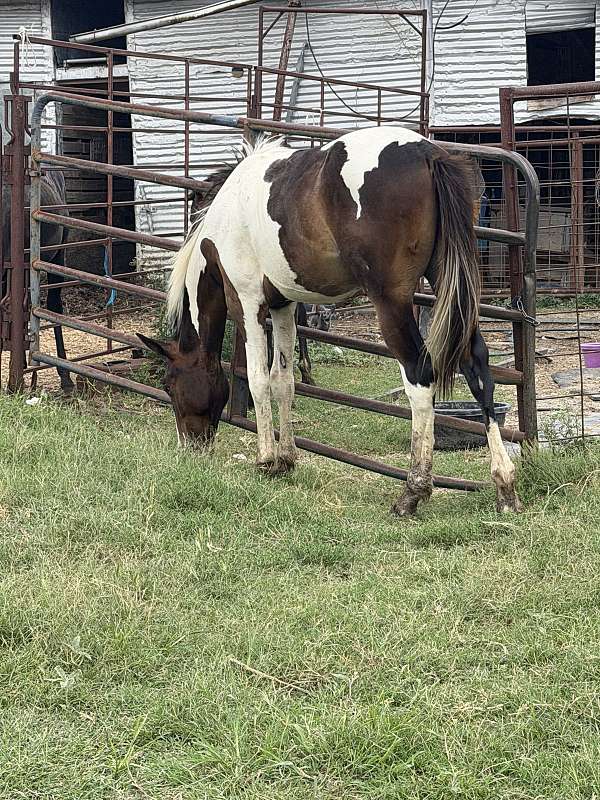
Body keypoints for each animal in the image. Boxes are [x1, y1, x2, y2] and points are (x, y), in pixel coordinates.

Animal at [138, 126, 521, 516]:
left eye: (169, 384)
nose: (190, 447)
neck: (223, 223)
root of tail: (427, 154)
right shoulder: (284, 305)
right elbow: (283, 380)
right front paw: (285, 459)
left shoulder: (246, 301)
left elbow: (258, 379)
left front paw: (265, 459)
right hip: (451, 286)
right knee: (477, 368)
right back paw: (505, 486)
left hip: (393, 303)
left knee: (419, 376)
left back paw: (413, 491)